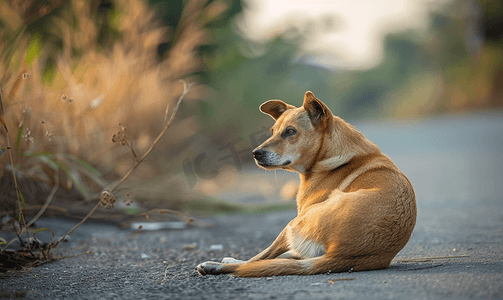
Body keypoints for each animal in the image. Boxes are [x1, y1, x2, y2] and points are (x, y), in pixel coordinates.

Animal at [197, 91, 418, 276]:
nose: (255, 153)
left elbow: (262, 256)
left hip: (292, 224)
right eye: (273, 131)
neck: (330, 155)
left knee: (259, 259)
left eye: (290, 131)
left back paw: (215, 266)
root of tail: (341, 255)